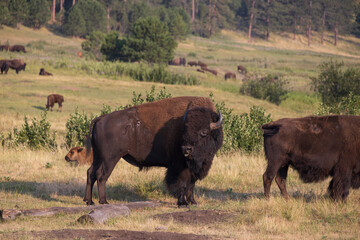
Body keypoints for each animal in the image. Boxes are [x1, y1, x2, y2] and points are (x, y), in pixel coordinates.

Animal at [84, 95, 224, 206]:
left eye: (204, 132)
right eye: (184, 130)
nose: (186, 149)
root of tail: (101, 118)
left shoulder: (195, 167)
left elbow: (191, 184)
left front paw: (193, 202)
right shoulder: (180, 167)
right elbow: (183, 183)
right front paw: (182, 203)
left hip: (98, 157)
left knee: (91, 172)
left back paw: (89, 201)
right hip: (110, 159)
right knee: (101, 176)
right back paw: (104, 201)